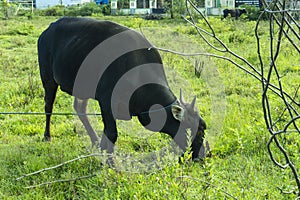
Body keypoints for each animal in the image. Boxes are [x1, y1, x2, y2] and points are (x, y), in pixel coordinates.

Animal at [37, 18, 206, 160]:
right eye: (198, 130)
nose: (204, 155)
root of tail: (49, 29)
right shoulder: (107, 100)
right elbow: (112, 133)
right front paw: (110, 163)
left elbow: (107, 132)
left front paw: (103, 150)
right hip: (48, 78)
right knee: (48, 106)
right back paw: (47, 136)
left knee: (80, 109)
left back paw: (94, 140)